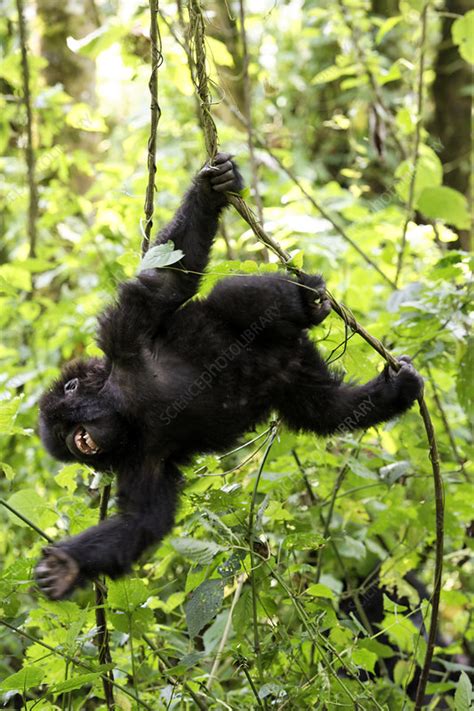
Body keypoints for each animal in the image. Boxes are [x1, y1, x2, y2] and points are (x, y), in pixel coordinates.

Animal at [36, 154, 422, 600]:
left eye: (66, 428)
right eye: (64, 444)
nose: (75, 443)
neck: (124, 408)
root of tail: (287, 350)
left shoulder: (124, 337)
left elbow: (168, 279)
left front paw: (209, 191)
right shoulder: (139, 459)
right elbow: (142, 521)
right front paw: (67, 567)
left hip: (273, 329)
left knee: (237, 297)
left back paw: (304, 302)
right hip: (296, 374)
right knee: (324, 409)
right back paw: (393, 392)